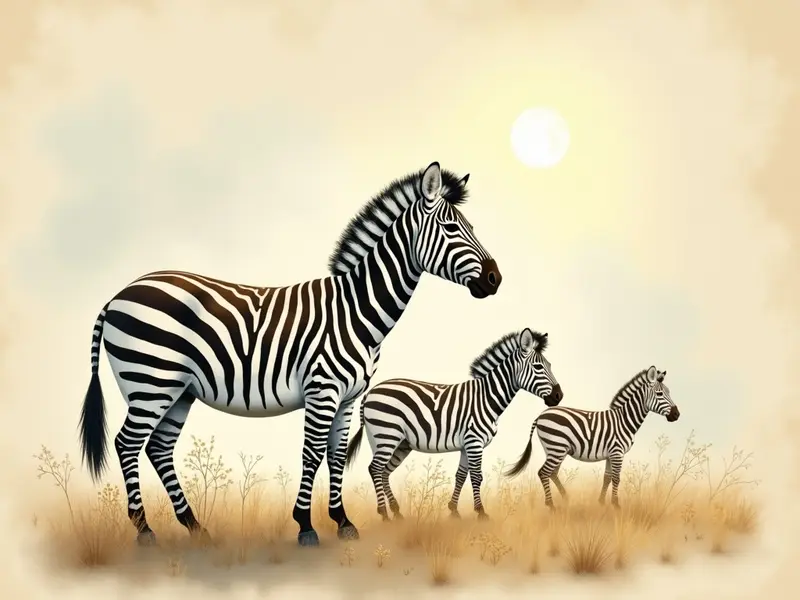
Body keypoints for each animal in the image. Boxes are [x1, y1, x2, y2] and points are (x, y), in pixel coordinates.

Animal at [77, 161, 504, 548]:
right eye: (451, 228)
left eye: (470, 228)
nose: (495, 278)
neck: (357, 311)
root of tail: (118, 295)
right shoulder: (322, 389)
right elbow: (312, 454)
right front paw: (306, 526)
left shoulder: (350, 397)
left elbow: (335, 456)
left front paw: (343, 521)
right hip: (151, 380)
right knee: (127, 444)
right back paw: (145, 530)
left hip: (177, 390)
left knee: (158, 448)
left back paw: (195, 526)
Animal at [344, 328, 564, 521]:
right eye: (538, 367)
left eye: (551, 365)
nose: (559, 396)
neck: (486, 398)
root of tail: (370, 392)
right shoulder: (474, 441)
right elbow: (476, 476)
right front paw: (481, 513)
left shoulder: (466, 445)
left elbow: (460, 475)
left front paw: (453, 511)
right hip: (387, 435)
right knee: (375, 469)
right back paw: (384, 514)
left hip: (390, 441)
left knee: (383, 471)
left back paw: (396, 513)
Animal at [504, 365, 679, 509]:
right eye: (659, 394)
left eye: (669, 392)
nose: (677, 414)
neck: (624, 420)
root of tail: (540, 415)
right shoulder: (617, 452)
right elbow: (616, 478)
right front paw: (616, 505)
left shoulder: (610, 454)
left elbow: (607, 478)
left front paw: (601, 503)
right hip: (556, 447)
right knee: (543, 472)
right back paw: (551, 505)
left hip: (555, 449)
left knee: (552, 473)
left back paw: (566, 498)